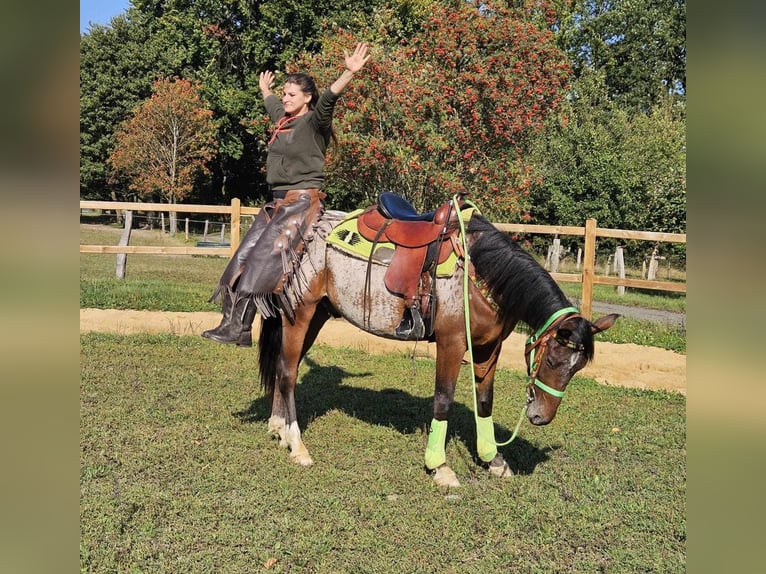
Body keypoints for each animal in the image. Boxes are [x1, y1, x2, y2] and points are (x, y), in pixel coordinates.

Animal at [256, 197, 616, 486]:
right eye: (553, 360)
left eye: (577, 368)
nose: (541, 417)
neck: (481, 272)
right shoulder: (452, 343)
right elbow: (443, 400)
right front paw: (439, 467)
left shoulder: (490, 347)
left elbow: (485, 402)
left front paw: (493, 460)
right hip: (300, 312)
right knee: (288, 373)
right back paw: (297, 445)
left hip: (317, 313)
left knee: (285, 366)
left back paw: (278, 428)